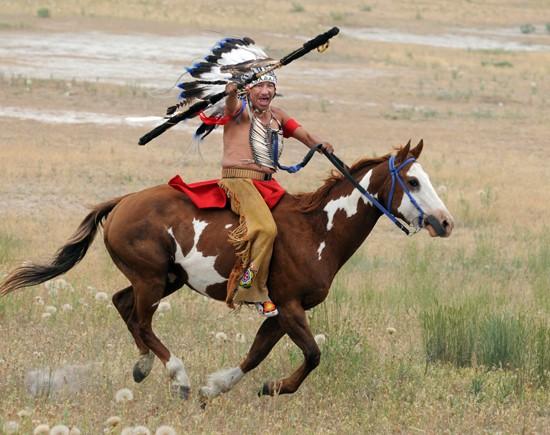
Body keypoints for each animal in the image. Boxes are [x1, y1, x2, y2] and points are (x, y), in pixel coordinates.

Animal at [0, 141, 454, 402]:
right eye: (413, 181)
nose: (445, 222)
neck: (317, 229)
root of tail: (123, 201)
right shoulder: (290, 306)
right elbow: (312, 354)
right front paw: (272, 388)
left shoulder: (279, 311)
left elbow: (256, 354)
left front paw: (217, 387)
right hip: (152, 279)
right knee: (141, 320)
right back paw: (177, 377)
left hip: (167, 279)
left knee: (122, 304)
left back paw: (144, 366)